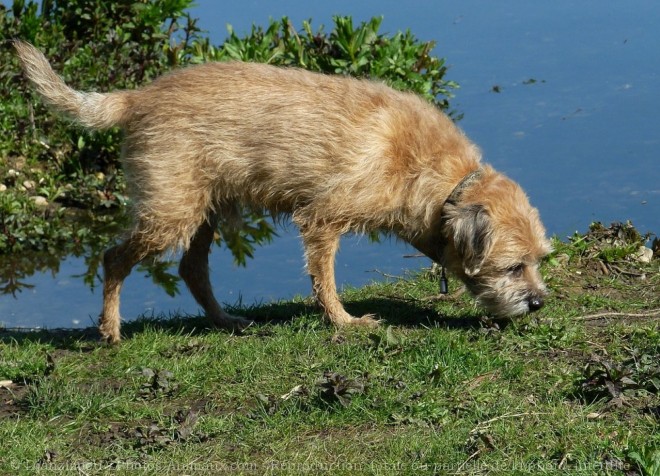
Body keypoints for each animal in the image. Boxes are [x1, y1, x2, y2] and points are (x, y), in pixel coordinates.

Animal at [15, 41, 552, 342]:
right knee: (114, 258)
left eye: (538, 260)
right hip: (170, 212)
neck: (437, 178)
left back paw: (225, 322)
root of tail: (137, 96)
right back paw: (110, 330)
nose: (539, 303)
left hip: (206, 209)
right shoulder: (322, 220)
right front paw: (344, 322)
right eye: (512, 267)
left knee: (192, 269)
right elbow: (324, 280)